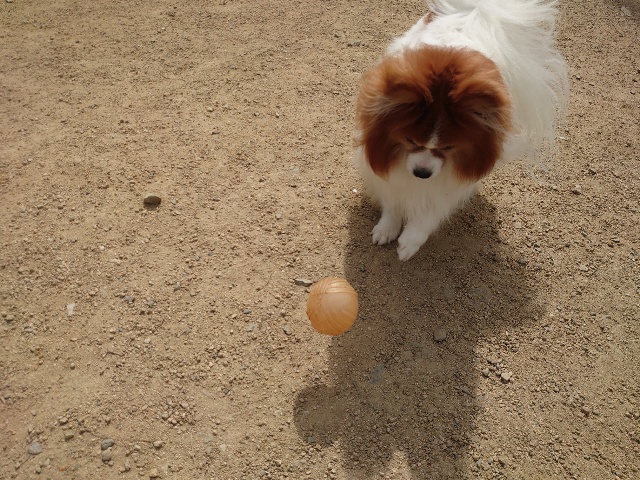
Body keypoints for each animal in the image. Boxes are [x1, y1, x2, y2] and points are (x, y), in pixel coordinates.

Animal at [355, 0, 568, 260]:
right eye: (411, 141)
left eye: (448, 147)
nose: (422, 173)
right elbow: (393, 198)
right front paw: (387, 228)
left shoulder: (454, 178)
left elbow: (432, 211)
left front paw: (410, 241)